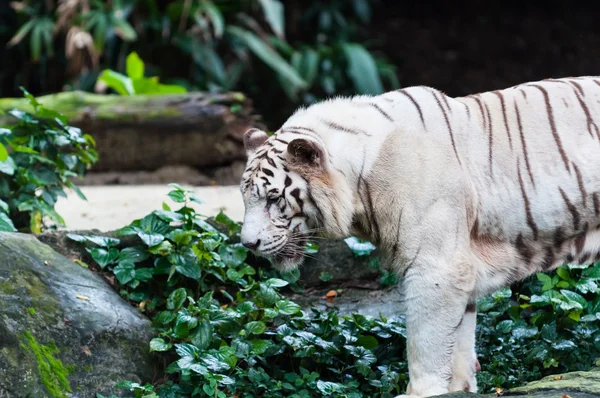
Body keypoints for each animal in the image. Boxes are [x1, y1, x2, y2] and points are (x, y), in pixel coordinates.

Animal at [237, 76, 600, 396]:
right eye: (245, 197)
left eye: (273, 198)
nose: (248, 244)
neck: (359, 183)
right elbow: (458, 339)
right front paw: (458, 388)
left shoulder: (437, 266)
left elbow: (425, 339)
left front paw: (420, 392)